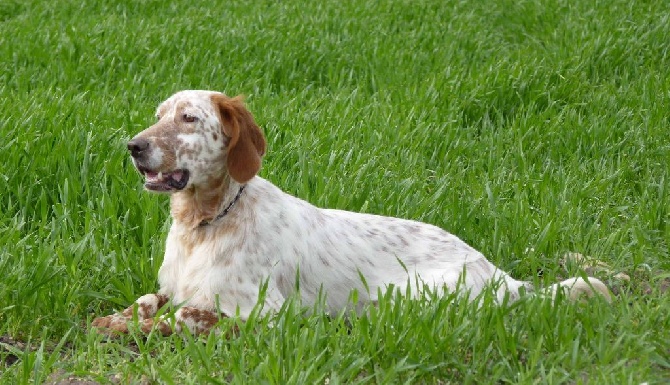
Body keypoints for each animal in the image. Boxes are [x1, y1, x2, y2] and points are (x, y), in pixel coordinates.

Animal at [92, 89, 612, 332]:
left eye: (188, 118)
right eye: (160, 115)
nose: (133, 146)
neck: (204, 224)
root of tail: (504, 277)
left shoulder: (263, 313)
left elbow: (183, 316)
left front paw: (141, 328)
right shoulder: (172, 285)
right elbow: (149, 301)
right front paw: (115, 320)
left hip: (413, 296)